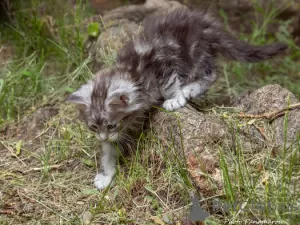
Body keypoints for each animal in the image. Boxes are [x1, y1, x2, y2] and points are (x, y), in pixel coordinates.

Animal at [67, 7, 288, 189]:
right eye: (93, 127)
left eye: (112, 125)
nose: (103, 136)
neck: (133, 73)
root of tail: (207, 23)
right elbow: (109, 150)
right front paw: (106, 175)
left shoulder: (162, 66)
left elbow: (169, 84)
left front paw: (174, 99)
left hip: (194, 53)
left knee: (211, 74)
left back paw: (188, 90)